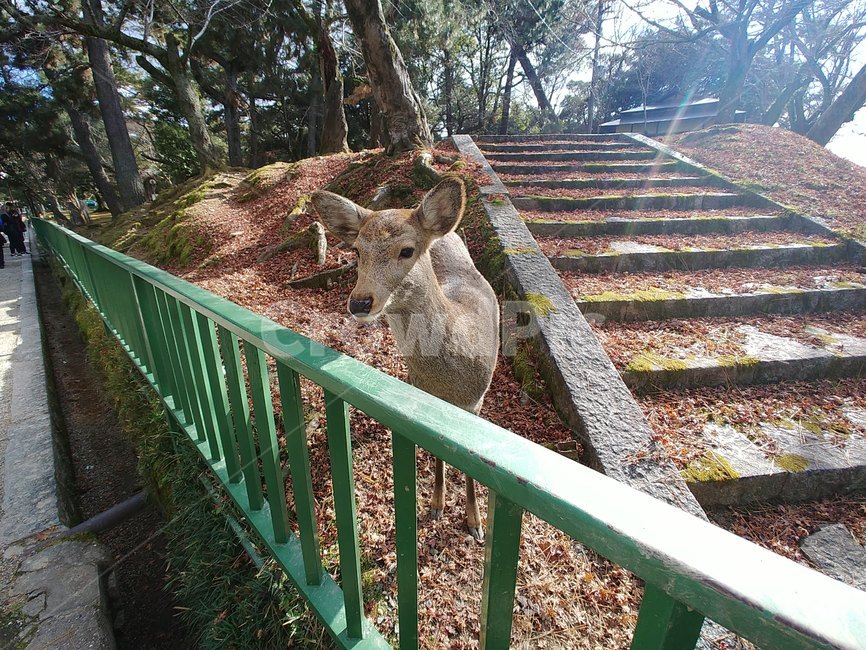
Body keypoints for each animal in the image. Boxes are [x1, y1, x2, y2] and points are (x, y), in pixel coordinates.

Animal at [311, 177, 499, 541]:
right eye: (357, 251)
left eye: (407, 250)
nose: (360, 302)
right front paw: (437, 504)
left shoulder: (477, 404)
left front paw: (475, 523)